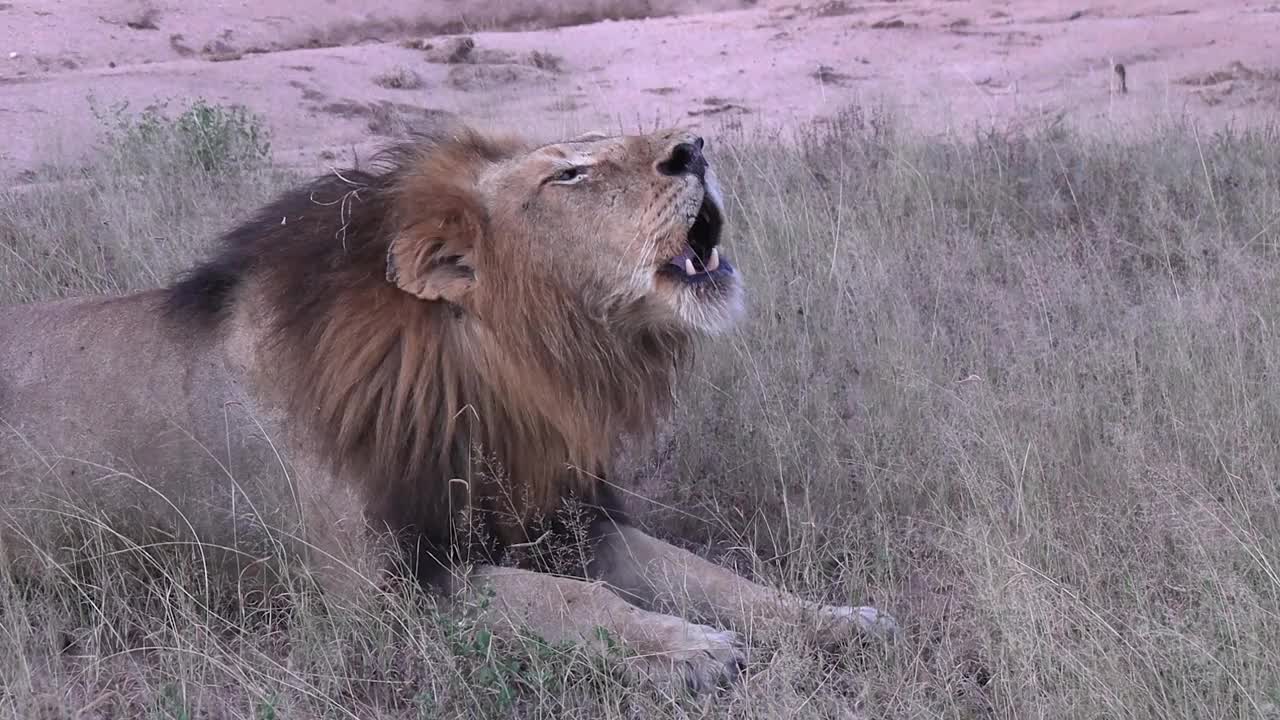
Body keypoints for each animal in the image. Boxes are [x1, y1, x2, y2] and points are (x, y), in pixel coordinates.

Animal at [0, 117, 896, 691]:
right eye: (569, 172)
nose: (695, 147)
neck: (506, 376)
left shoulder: (567, 520)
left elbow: (712, 575)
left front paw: (837, 621)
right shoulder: (371, 592)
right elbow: (544, 595)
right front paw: (688, 648)